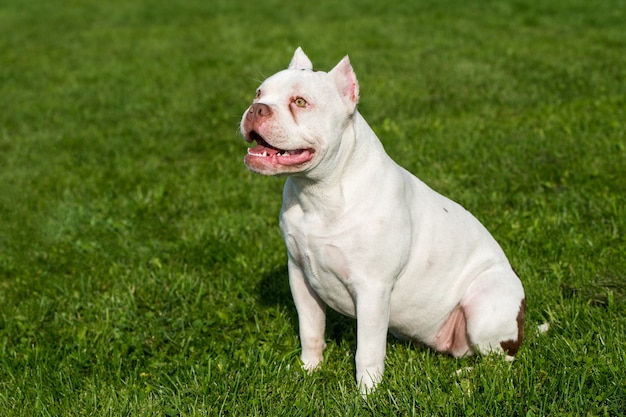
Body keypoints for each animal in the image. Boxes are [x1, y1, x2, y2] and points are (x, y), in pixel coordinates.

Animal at [239, 48, 520, 394]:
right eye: (258, 93)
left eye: (300, 102)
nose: (257, 108)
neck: (319, 193)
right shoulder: (300, 277)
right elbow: (311, 331)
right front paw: (308, 370)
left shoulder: (372, 289)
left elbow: (368, 349)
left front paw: (367, 393)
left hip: (485, 302)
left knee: (500, 362)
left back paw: (464, 376)